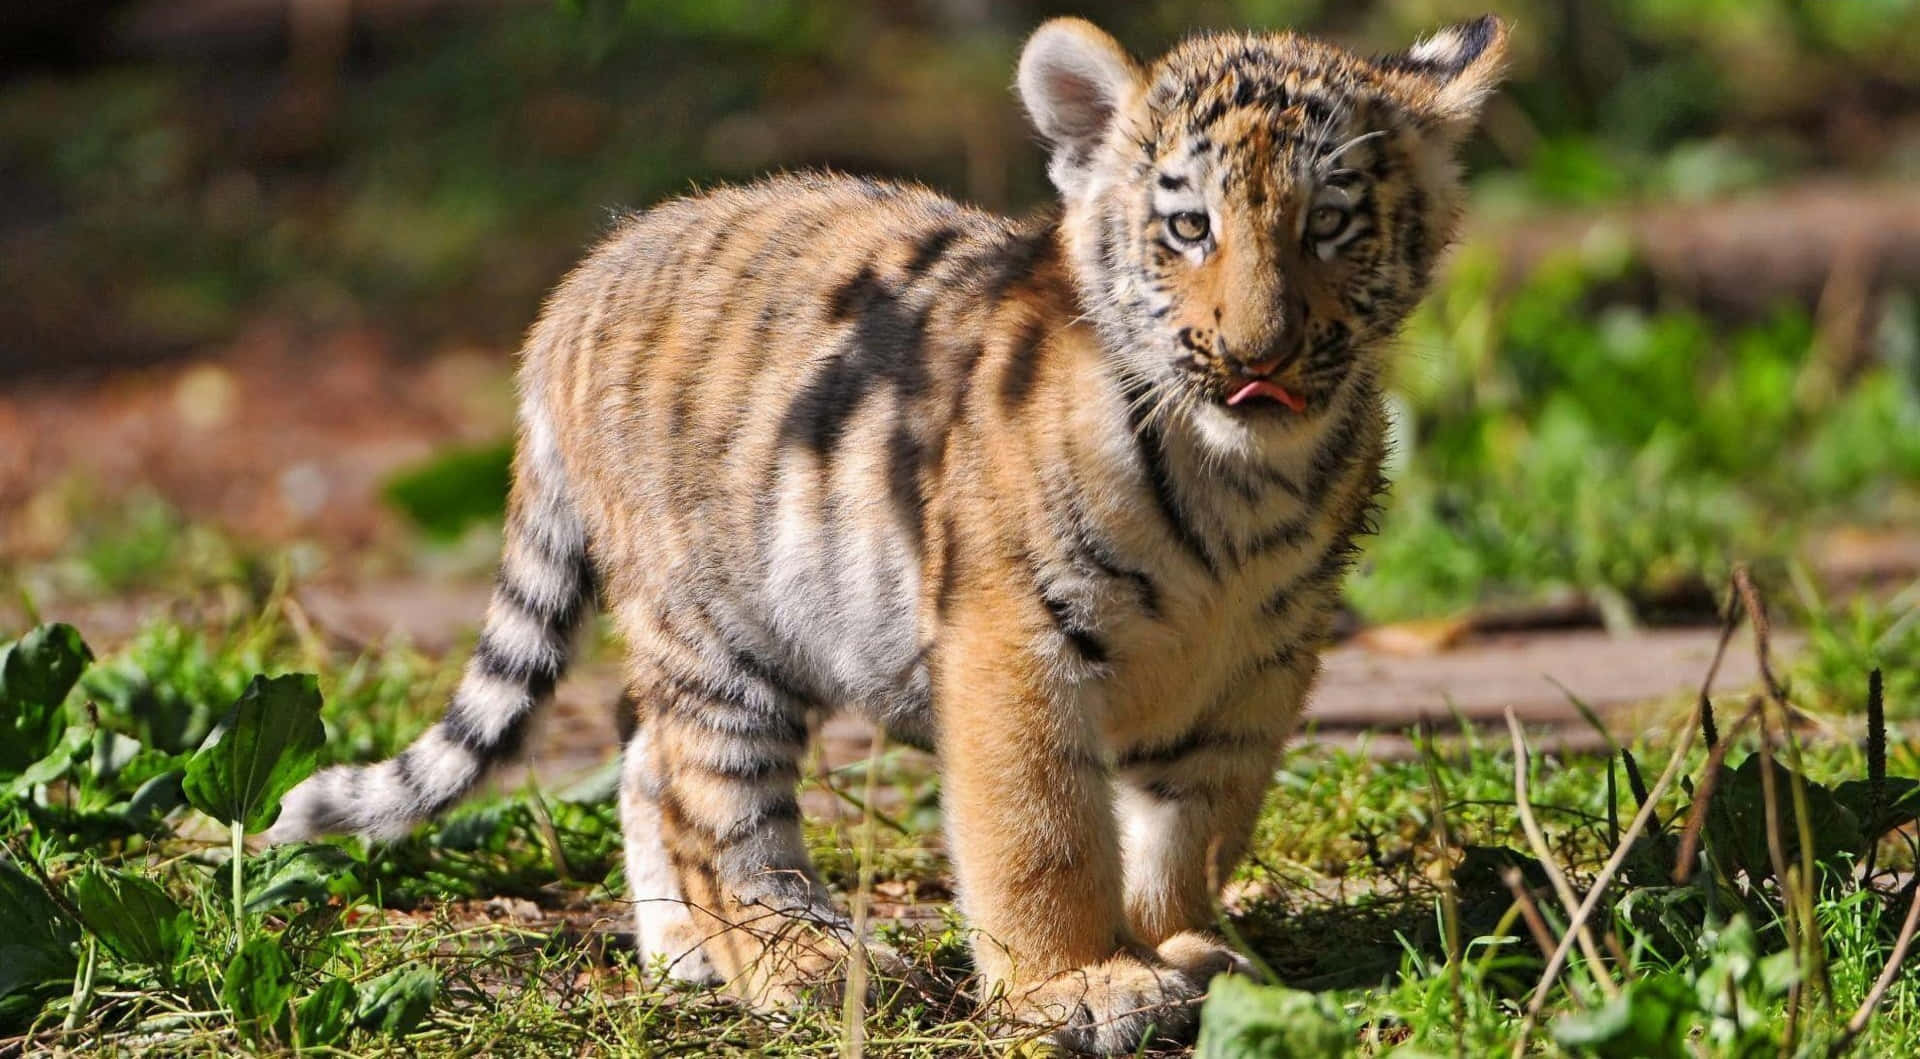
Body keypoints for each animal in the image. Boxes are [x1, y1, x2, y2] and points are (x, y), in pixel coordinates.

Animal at [269, 13, 1507, 1052]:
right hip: (717, 630)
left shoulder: (1260, 660)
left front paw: (1190, 946)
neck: (1243, 479)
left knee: (641, 759)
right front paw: (1077, 985)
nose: (1259, 356)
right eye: (1188, 226)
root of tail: (580, 281)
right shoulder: (1014, 638)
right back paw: (800, 965)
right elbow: (1042, 830)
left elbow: (1196, 822)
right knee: (713, 805)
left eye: (1329, 225)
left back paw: (685, 957)